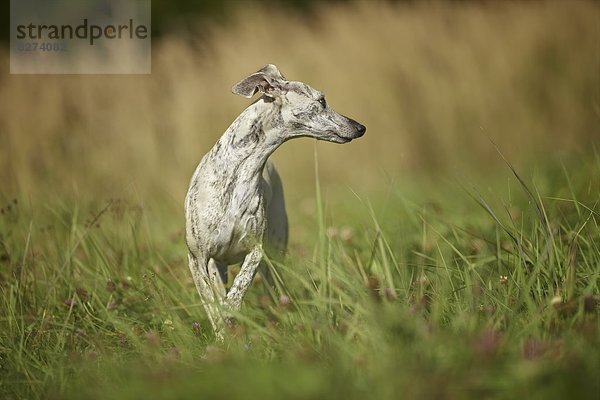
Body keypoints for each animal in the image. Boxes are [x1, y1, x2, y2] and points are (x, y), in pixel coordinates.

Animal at [184, 63, 366, 338]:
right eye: (321, 100)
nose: (360, 127)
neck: (239, 173)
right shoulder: (197, 259)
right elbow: (212, 304)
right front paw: (222, 332)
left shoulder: (257, 251)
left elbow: (239, 288)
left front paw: (232, 314)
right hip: (217, 265)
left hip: (274, 258)